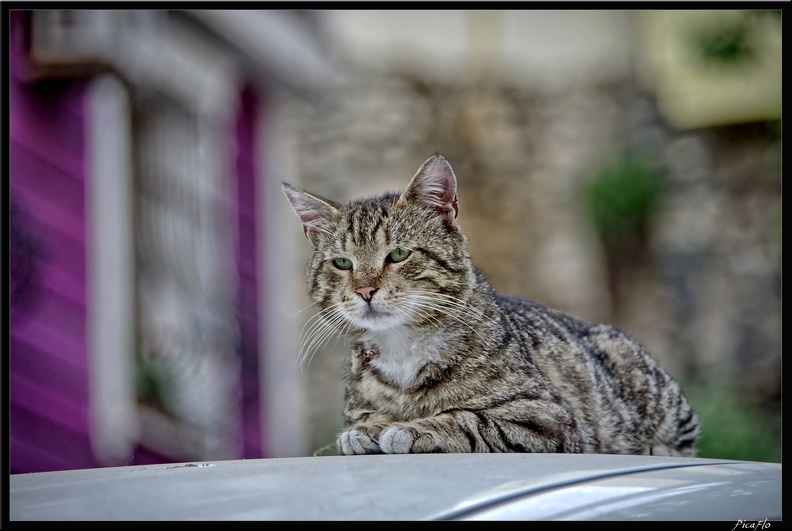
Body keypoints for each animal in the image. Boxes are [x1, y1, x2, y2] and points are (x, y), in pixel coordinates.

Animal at [282, 154, 696, 458]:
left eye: (398, 254)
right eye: (342, 263)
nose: (366, 290)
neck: (402, 349)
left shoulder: (546, 417)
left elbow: (465, 420)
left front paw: (407, 429)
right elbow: (363, 417)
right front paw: (368, 427)